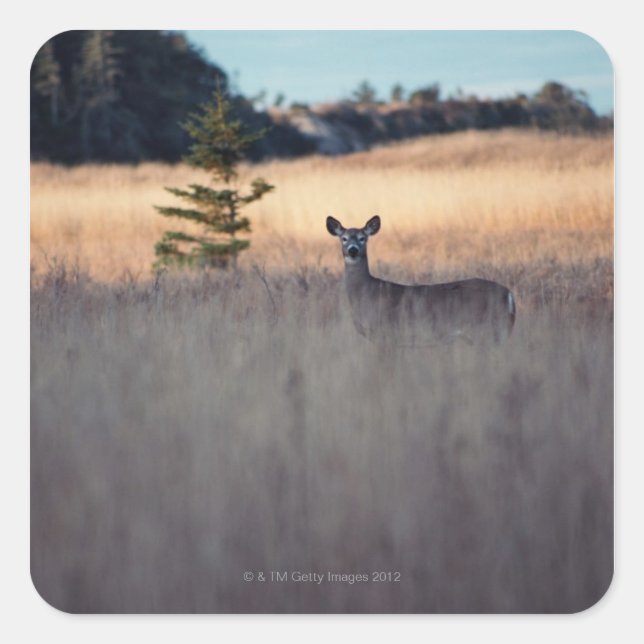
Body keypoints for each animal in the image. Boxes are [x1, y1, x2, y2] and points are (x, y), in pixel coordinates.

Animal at [326, 215, 515, 346]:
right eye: (343, 238)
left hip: (489, 329)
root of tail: (509, 294)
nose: (353, 250)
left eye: (363, 238)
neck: (367, 292)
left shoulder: (386, 332)